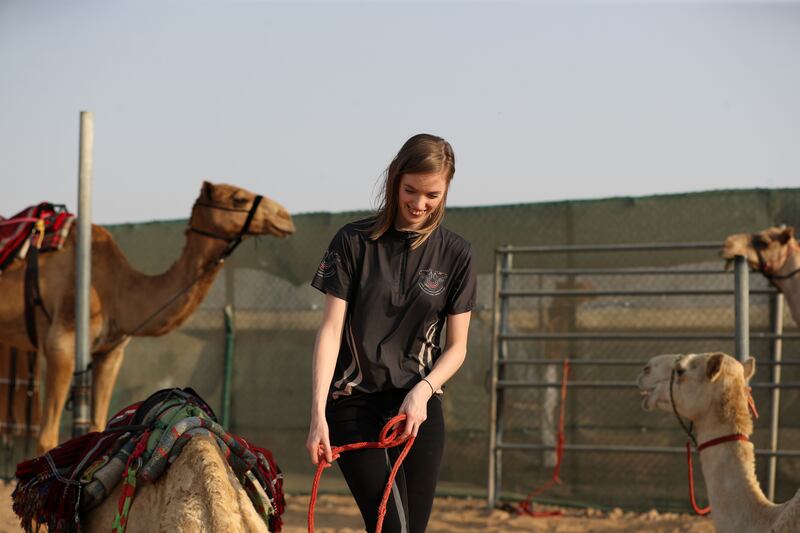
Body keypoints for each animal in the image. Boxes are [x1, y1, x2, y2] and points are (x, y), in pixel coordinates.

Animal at [0, 181, 296, 450]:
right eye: (238, 198)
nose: (285, 217)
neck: (115, 289)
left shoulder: (110, 352)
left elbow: (97, 426)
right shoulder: (60, 343)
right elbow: (46, 437)